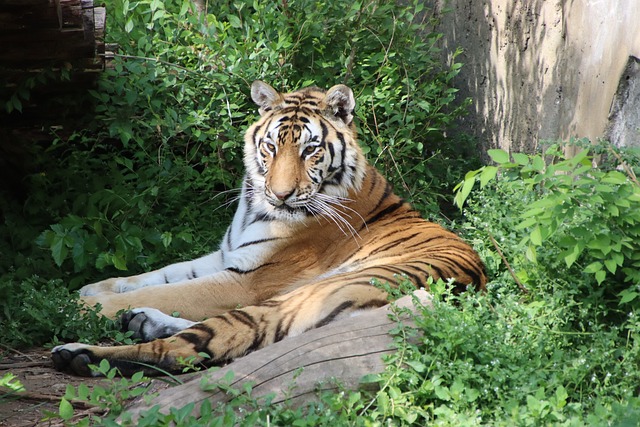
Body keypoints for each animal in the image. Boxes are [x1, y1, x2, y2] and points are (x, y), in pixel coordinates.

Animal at [51, 81, 484, 378]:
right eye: (271, 146)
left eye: (310, 150)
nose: (280, 194)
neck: (254, 208)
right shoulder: (228, 254)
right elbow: (159, 275)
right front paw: (96, 288)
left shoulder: (250, 280)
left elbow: (170, 290)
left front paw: (75, 304)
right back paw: (141, 321)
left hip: (308, 294)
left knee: (193, 348)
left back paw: (81, 353)